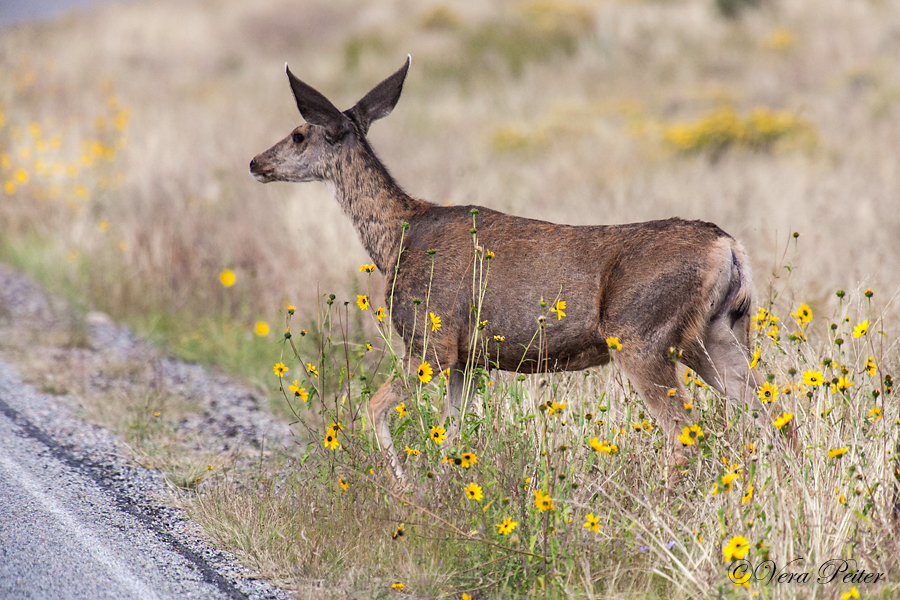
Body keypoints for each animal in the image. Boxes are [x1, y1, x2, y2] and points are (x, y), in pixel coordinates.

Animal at [250, 58, 776, 482]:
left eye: (299, 134)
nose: (255, 162)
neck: (398, 238)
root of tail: (728, 247)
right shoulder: (466, 359)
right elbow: (452, 432)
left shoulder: (431, 340)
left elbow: (374, 409)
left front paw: (401, 486)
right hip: (716, 333)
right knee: (772, 417)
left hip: (641, 334)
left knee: (687, 436)